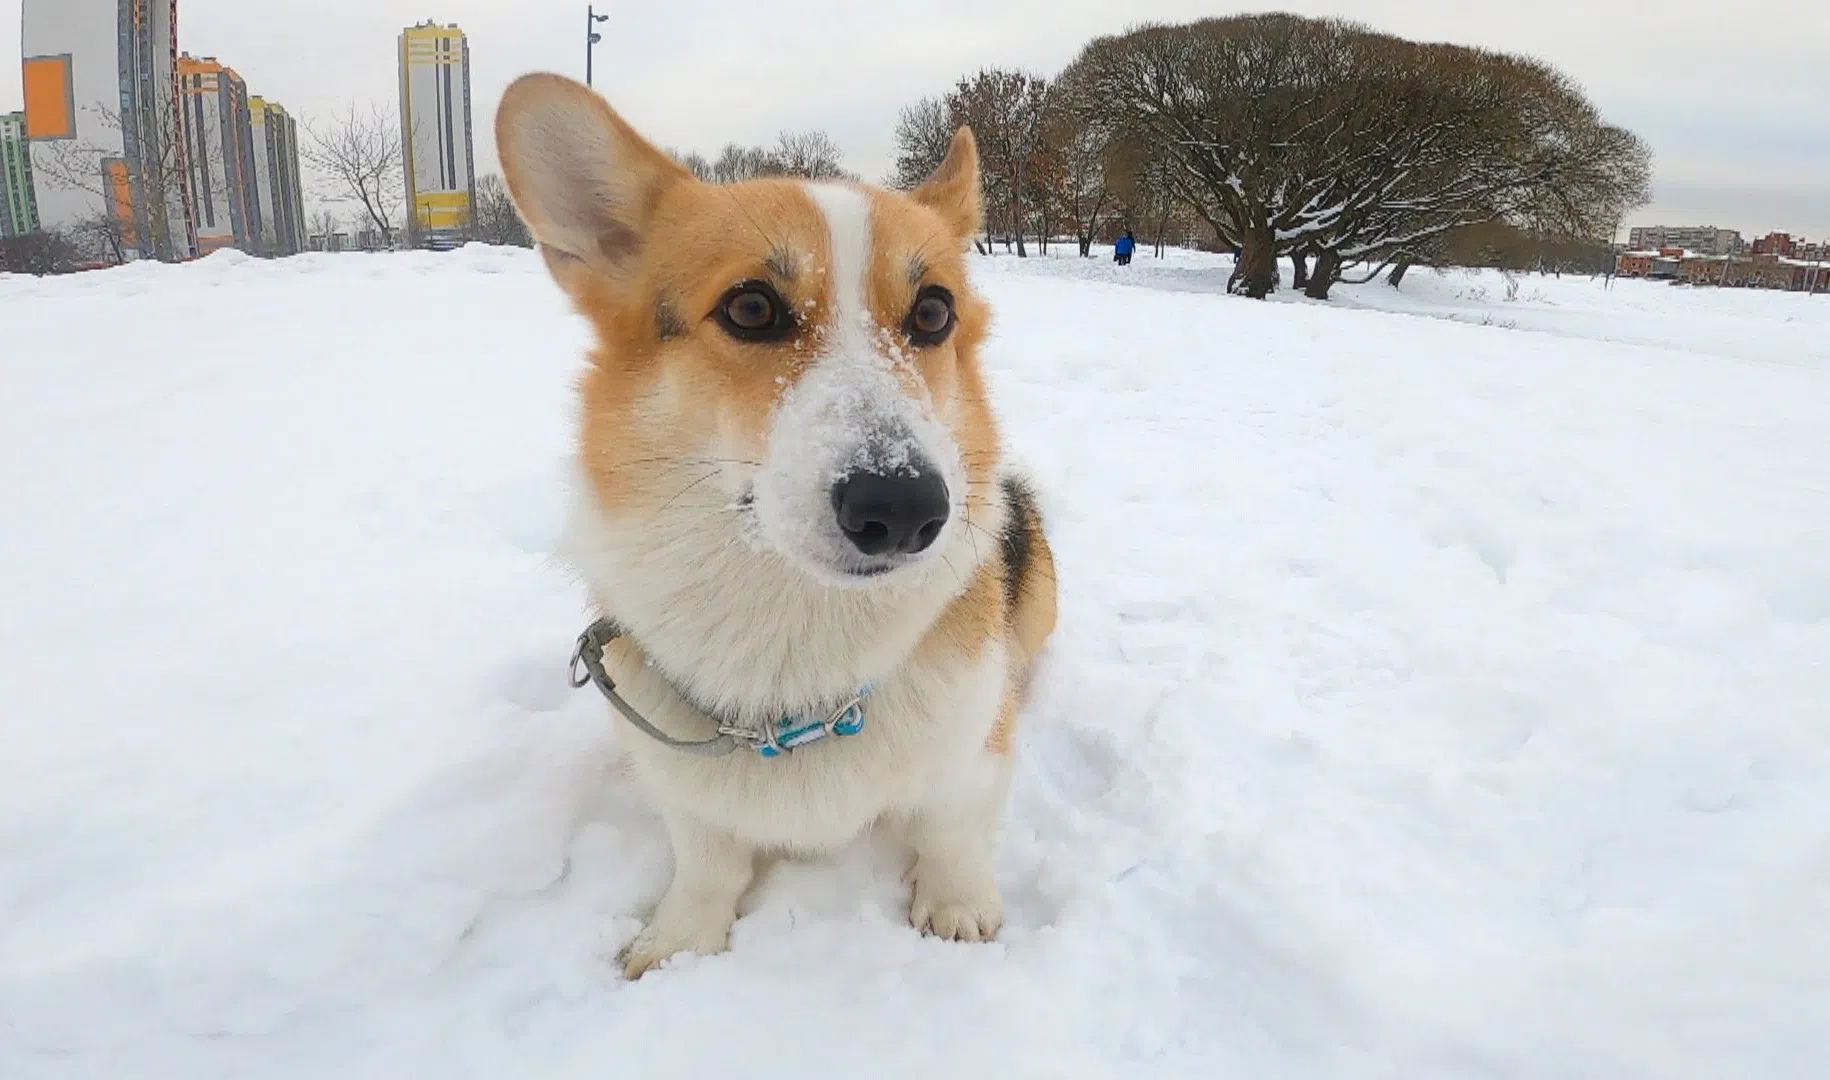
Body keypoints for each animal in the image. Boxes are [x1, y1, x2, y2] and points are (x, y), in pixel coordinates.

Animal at [494, 71, 1061, 981]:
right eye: (753, 307)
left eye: (933, 314)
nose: (907, 509)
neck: (794, 639)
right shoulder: (687, 792)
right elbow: (707, 861)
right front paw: (681, 941)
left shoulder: (970, 753)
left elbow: (954, 832)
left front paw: (956, 912)